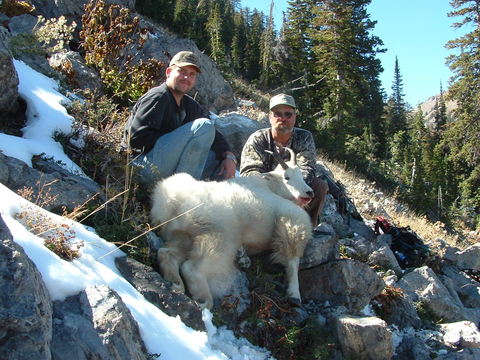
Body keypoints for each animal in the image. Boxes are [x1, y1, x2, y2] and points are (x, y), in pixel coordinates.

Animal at [151, 147, 316, 310]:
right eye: (287, 177)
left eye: (302, 176)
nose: (309, 192)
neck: (269, 186)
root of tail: (175, 203)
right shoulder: (292, 222)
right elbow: (292, 260)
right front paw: (294, 294)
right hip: (220, 237)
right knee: (192, 268)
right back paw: (203, 300)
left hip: (182, 235)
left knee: (167, 253)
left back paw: (175, 284)